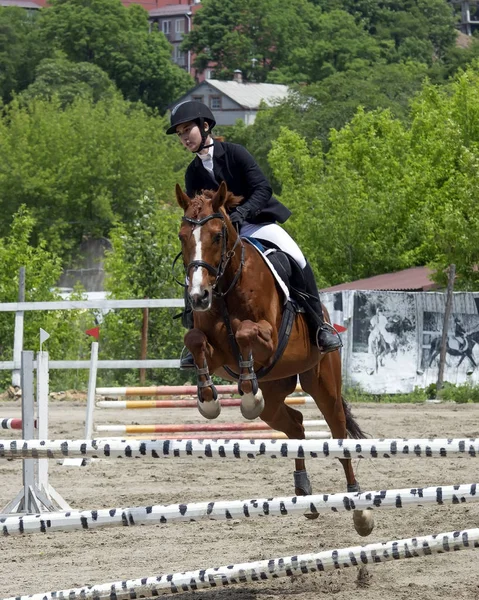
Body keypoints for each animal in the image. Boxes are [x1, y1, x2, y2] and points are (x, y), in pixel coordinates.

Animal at [176, 180, 376, 536]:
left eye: (217, 235)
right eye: (182, 236)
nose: (198, 296)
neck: (227, 286)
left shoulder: (268, 338)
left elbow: (245, 333)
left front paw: (245, 389)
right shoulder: (215, 352)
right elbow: (195, 340)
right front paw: (209, 398)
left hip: (322, 382)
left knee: (338, 432)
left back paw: (359, 508)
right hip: (274, 394)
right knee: (295, 425)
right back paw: (303, 493)